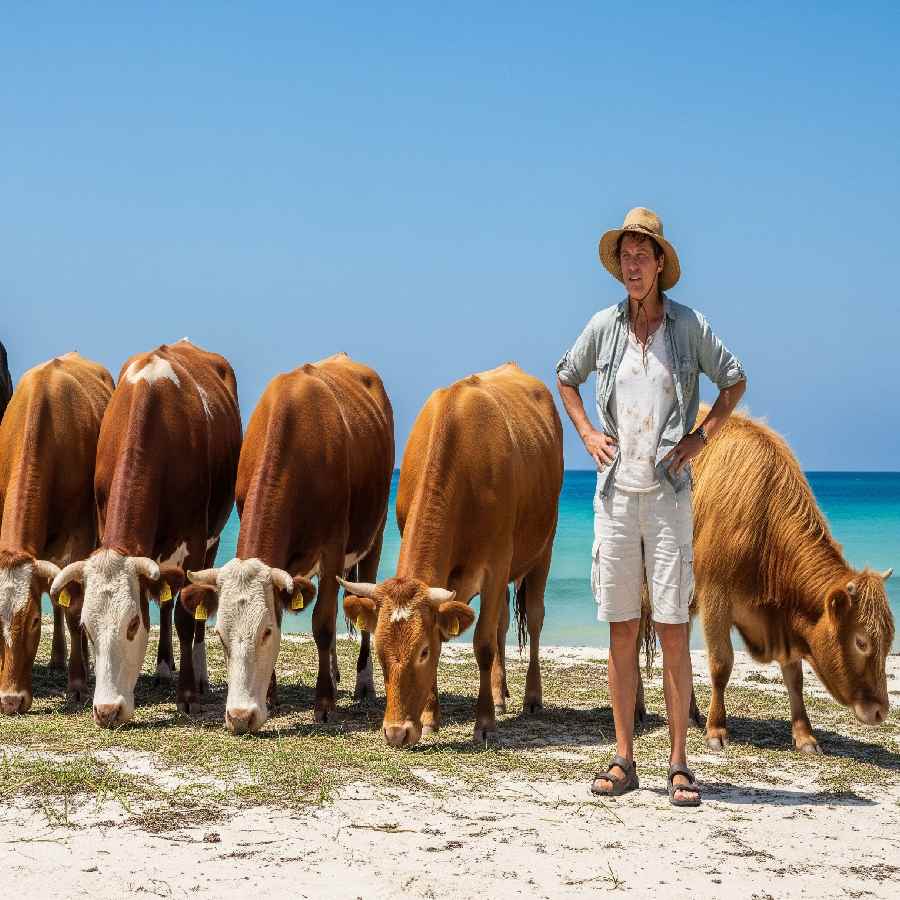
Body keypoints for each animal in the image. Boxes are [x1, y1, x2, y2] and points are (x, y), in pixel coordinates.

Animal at [0, 353, 113, 713]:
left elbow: (74, 606)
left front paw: (77, 684)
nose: (10, 701)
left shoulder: (78, 532)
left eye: (36, 621)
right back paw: (57, 659)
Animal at [50, 340, 242, 727]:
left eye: (132, 624)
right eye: (87, 627)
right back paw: (164, 668)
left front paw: (187, 697)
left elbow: (186, 615)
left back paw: (197, 676)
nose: (106, 711)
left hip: (211, 541)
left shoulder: (192, 541)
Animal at [183, 353, 394, 733]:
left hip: (376, 532)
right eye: (220, 635)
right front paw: (270, 695)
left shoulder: (333, 547)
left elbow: (322, 623)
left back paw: (363, 684)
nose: (239, 717)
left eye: (266, 632)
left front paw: (324, 704)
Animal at [341, 363, 564, 747]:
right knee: (502, 624)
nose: (396, 732)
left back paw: (530, 698)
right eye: (381, 653)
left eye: (422, 652)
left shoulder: (496, 564)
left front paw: (484, 723)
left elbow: (483, 644)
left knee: (534, 619)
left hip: (542, 550)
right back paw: (500, 693)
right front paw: (431, 718)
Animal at [688, 406, 894, 753]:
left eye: (890, 641)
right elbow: (721, 664)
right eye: (861, 641)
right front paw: (716, 730)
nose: (881, 710)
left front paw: (805, 736)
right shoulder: (714, 597)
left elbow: (794, 677)